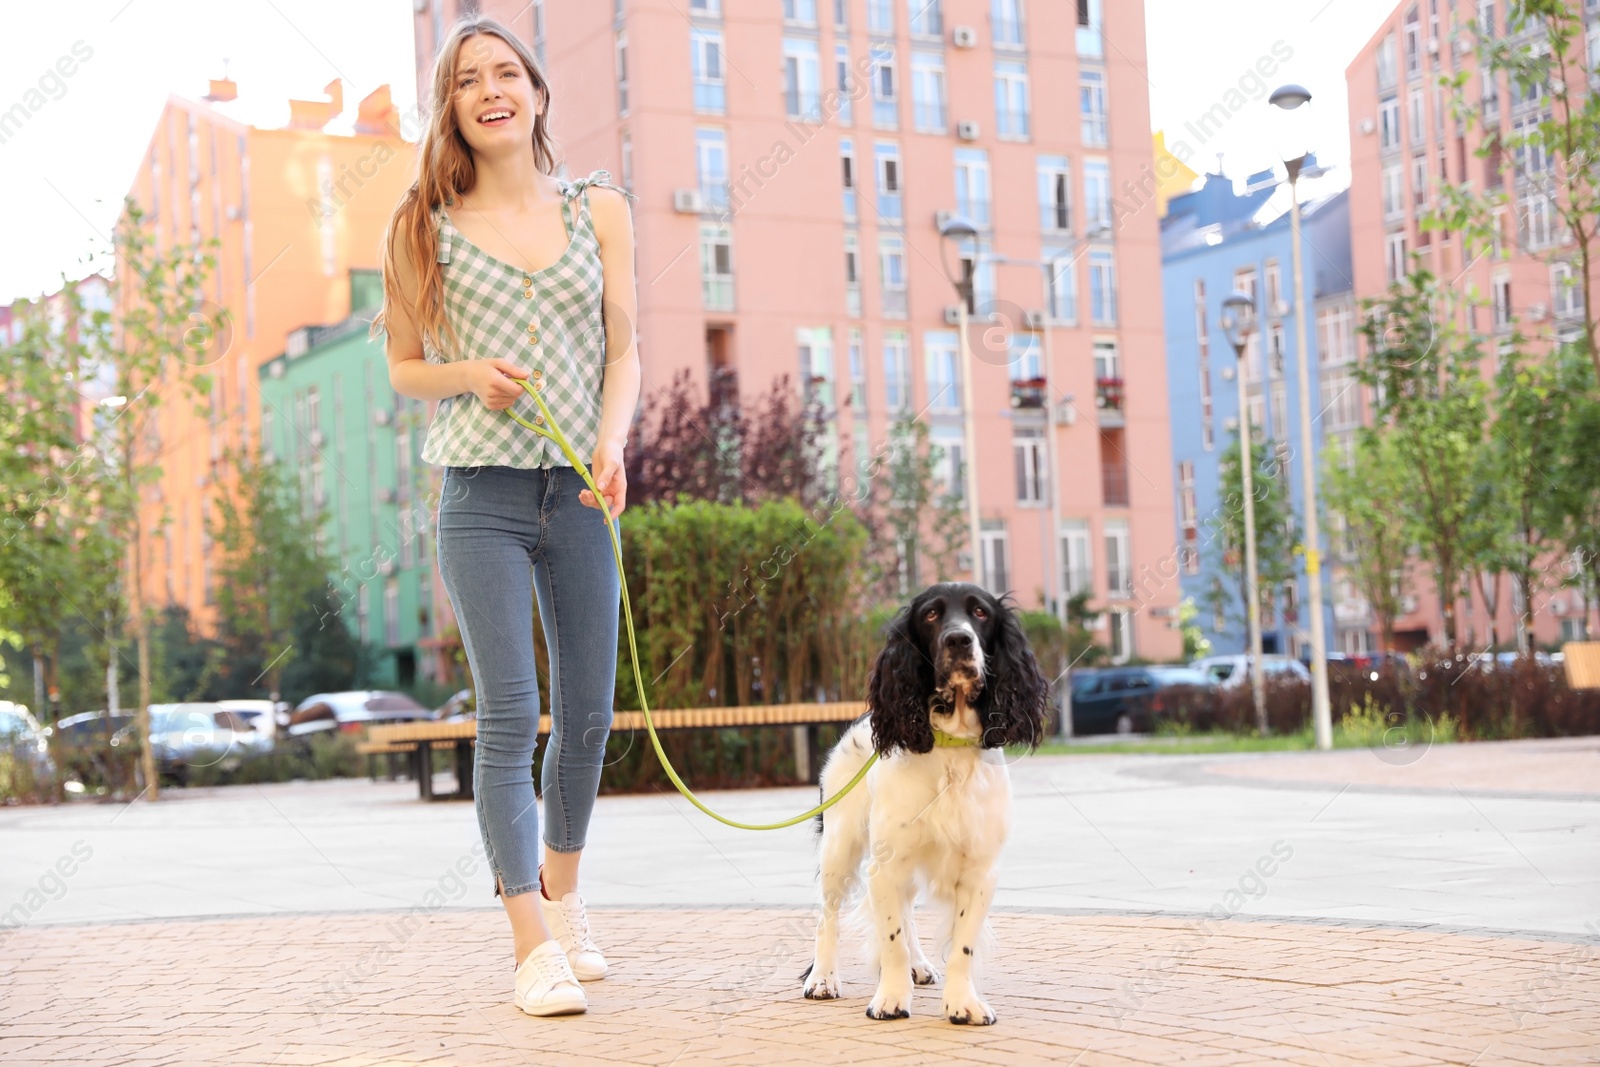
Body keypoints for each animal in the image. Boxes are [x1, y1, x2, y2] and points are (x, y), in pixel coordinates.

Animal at [800, 585, 1049, 1023]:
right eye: (931, 615)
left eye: (981, 613)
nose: (958, 640)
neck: (950, 745)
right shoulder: (885, 863)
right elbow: (891, 937)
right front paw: (890, 998)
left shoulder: (979, 870)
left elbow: (961, 946)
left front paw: (963, 1003)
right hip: (840, 846)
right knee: (827, 915)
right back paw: (823, 979)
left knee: (906, 911)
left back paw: (917, 965)